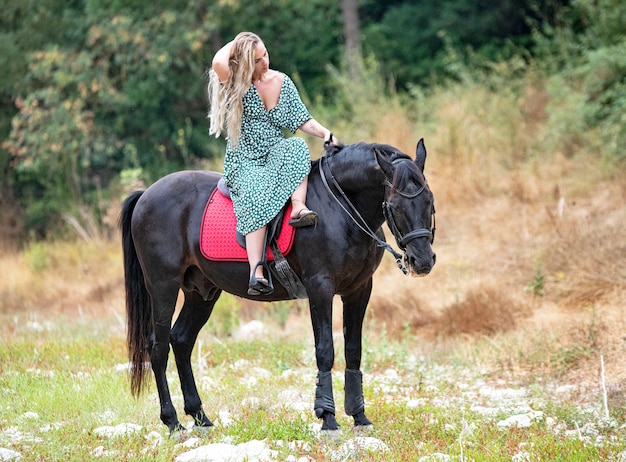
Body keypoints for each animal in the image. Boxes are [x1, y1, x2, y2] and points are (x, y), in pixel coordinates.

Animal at [120, 139, 434, 434]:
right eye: (394, 206)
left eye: (429, 202)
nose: (422, 261)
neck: (340, 208)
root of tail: (146, 194)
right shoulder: (320, 288)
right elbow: (325, 350)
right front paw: (328, 417)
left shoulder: (358, 290)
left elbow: (353, 349)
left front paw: (359, 417)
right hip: (163, 286)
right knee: (158, 347)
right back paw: (172, 421)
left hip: (201, 292)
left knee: (182, 340)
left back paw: (200, 416)